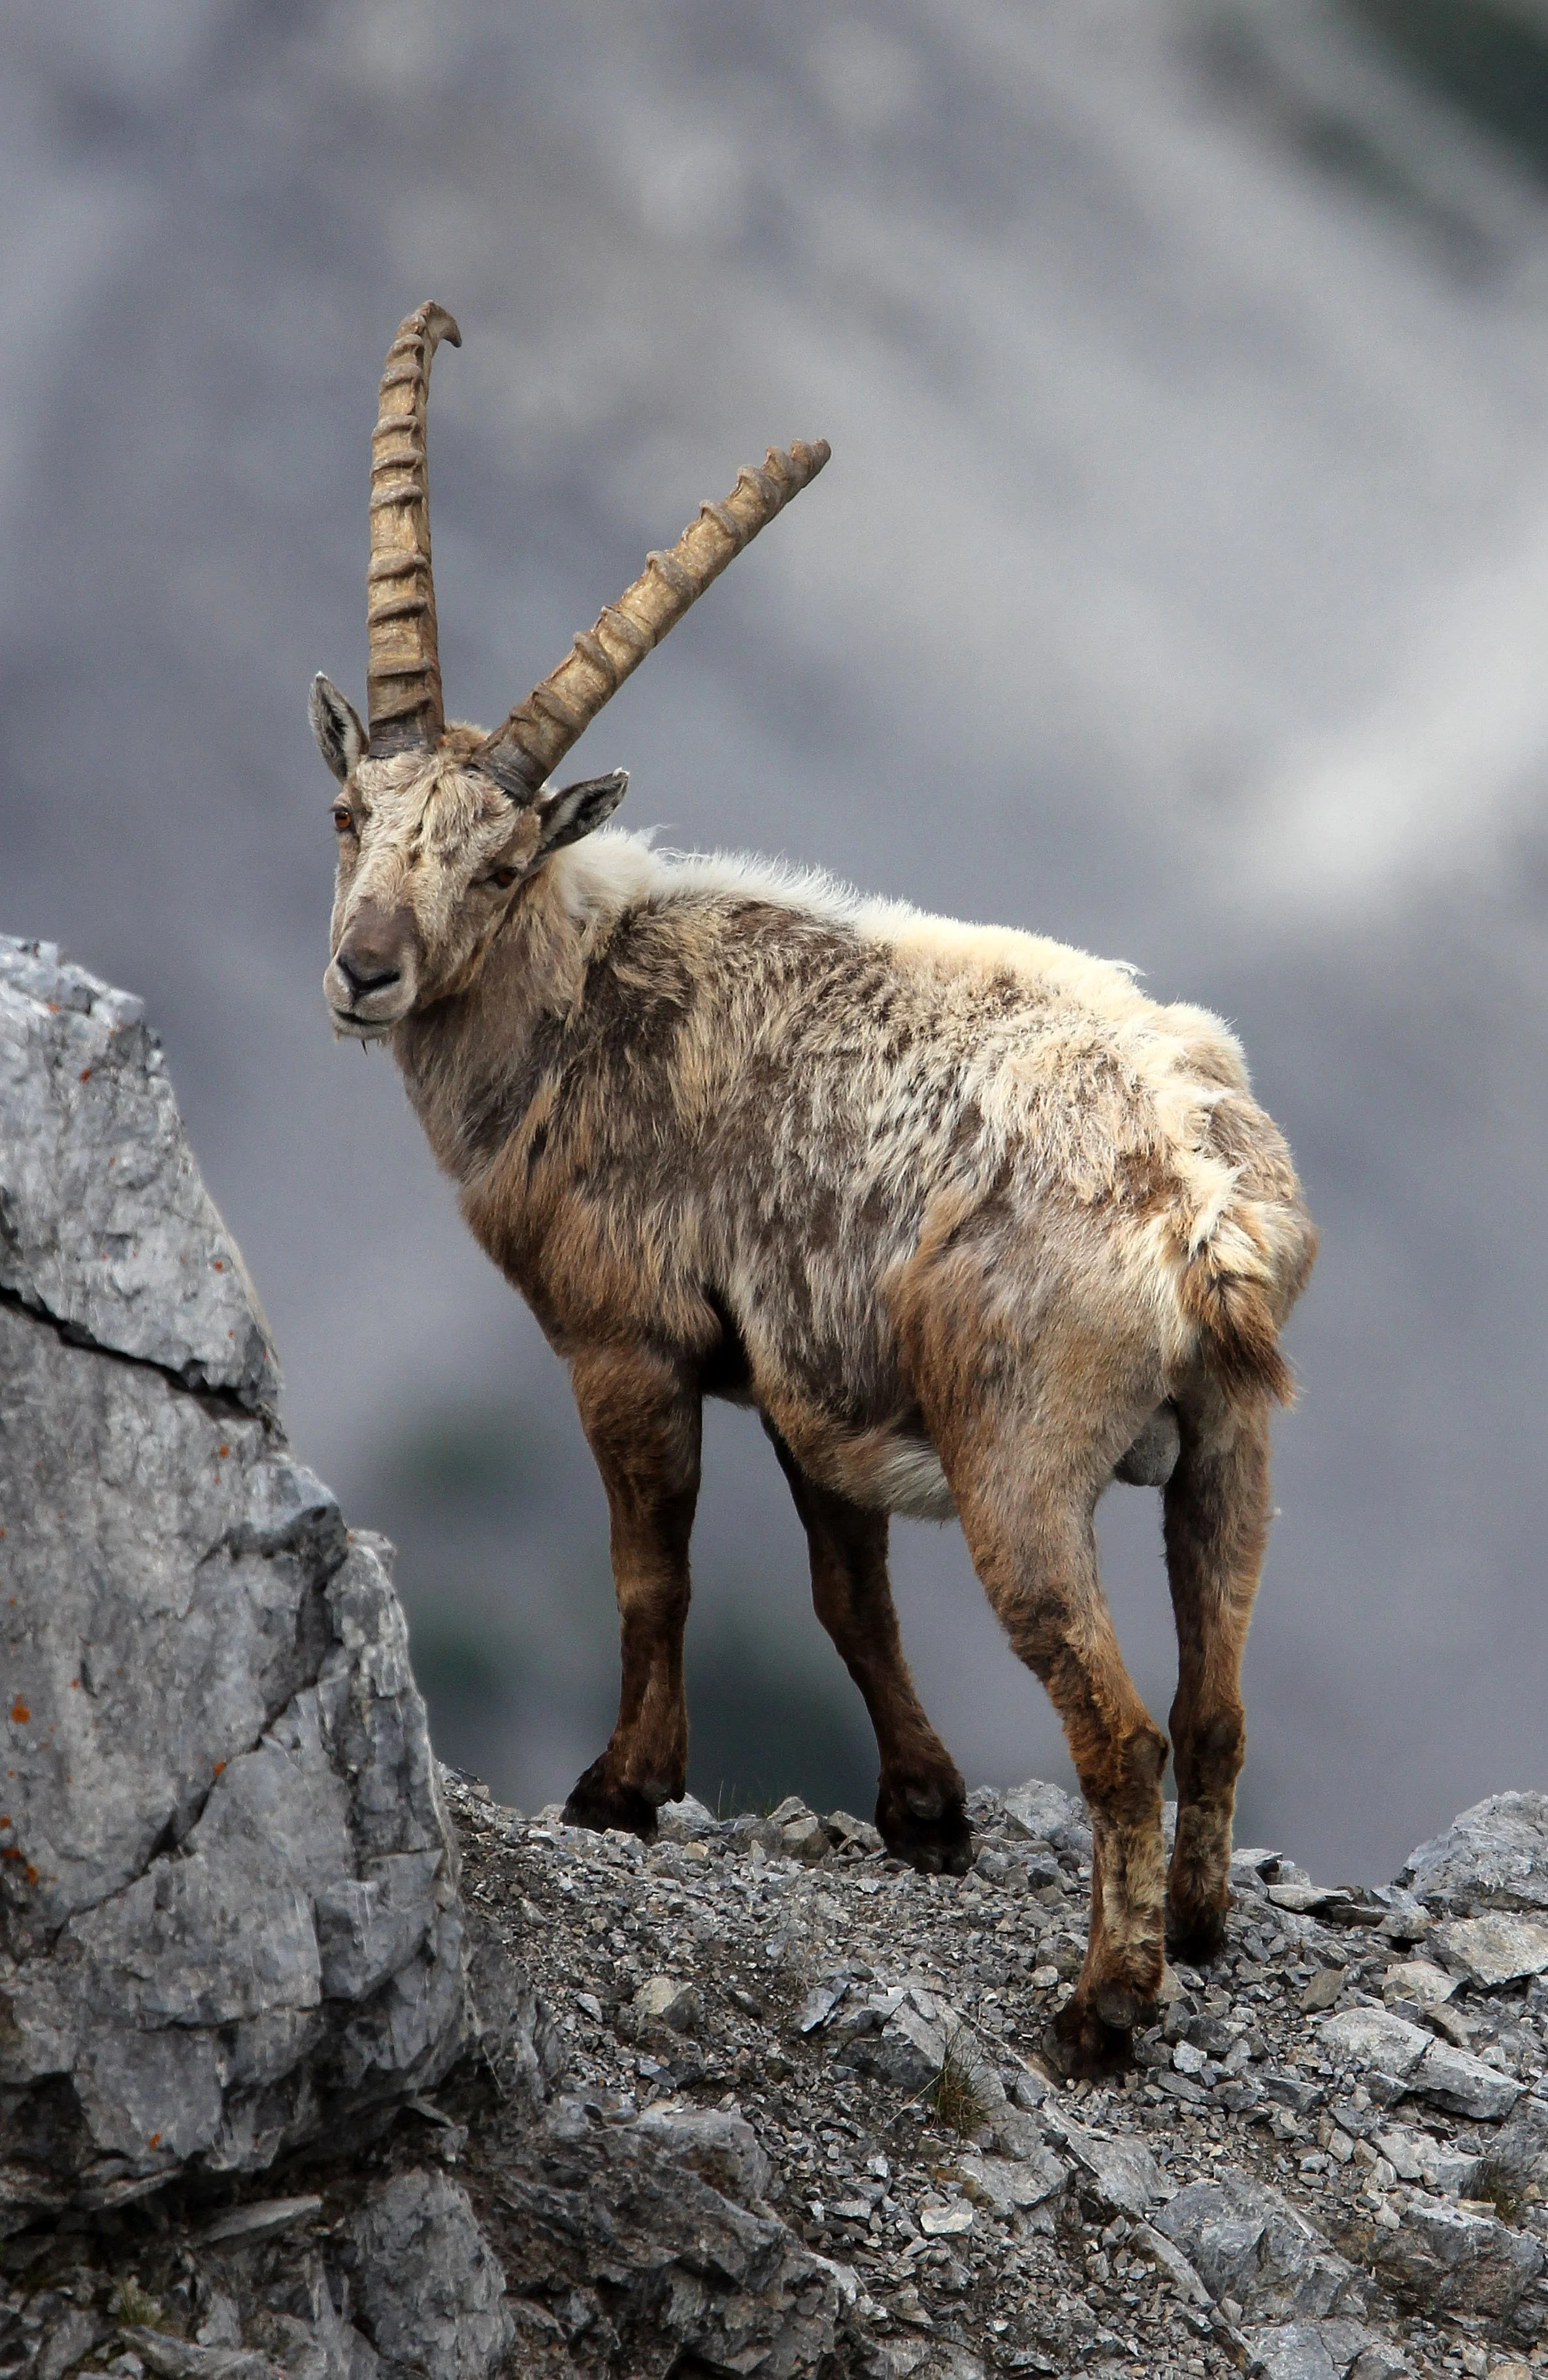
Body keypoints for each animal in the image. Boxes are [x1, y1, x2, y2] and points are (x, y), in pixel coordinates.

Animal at [309, 303, 1316, 2074]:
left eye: (496, 862)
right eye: (353, 810)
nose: (365, 971)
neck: (582, 999)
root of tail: (1201, 1202)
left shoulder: (630, 1342)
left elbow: (653, 1570)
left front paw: (621, 1789)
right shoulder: (808, 1387)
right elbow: (849, 1598)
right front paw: (923, 1814)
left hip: (1021, 1460)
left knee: (1120, 1729)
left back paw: (1101, 2007)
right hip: (1230, 1450)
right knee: (1213, 1705)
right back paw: (1193, 1934)